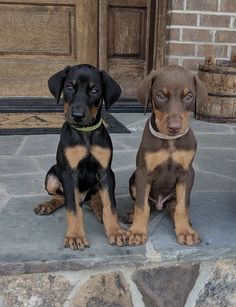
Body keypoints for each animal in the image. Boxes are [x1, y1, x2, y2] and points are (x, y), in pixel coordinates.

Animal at [34, 64, 126, 250]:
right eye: (69, 87)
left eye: (95, 90)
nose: (77, 116)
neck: (85, 133)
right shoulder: (69, 174)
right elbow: (73, 209)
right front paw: (75, 236)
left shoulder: (106, 173)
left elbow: (110, 205)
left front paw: (115, 231)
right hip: (51, 176)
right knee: (63, 198)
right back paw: (47, 205)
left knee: (96, 199)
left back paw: (99, 211)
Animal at [125, 65, 206, 248]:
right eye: (160, 96)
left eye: (189, 96)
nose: (174, 127)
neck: (169, 141)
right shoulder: (143, 173)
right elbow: (142, 206)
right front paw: (137, 232)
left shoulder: (186, 174)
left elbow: (183, 207)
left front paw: (185, 232)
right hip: (133, 179)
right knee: (143, 202)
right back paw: (131, 214)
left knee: (174, 206)